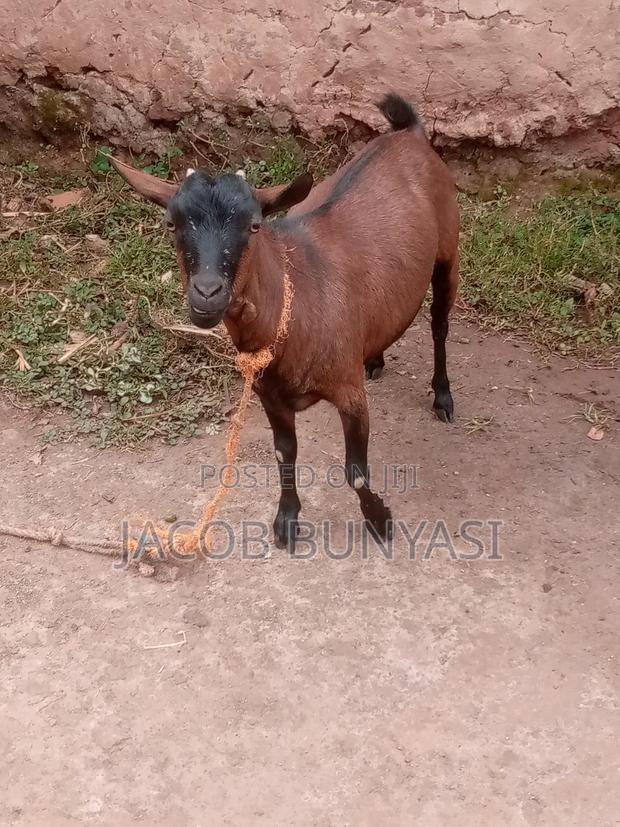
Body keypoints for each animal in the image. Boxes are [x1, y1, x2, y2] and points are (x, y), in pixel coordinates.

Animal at [110, 93, 459, 551]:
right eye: (172, 224)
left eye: (255, 225)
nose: (207, 293)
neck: (295, 303)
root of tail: (409, 133)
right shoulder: (269, 397)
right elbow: (284, 453)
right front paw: (286, 521)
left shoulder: (349, 393)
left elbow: (355, 470)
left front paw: (380, 520)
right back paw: (376, 358)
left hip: (448, 251)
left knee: (439, 325)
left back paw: (443, 397)